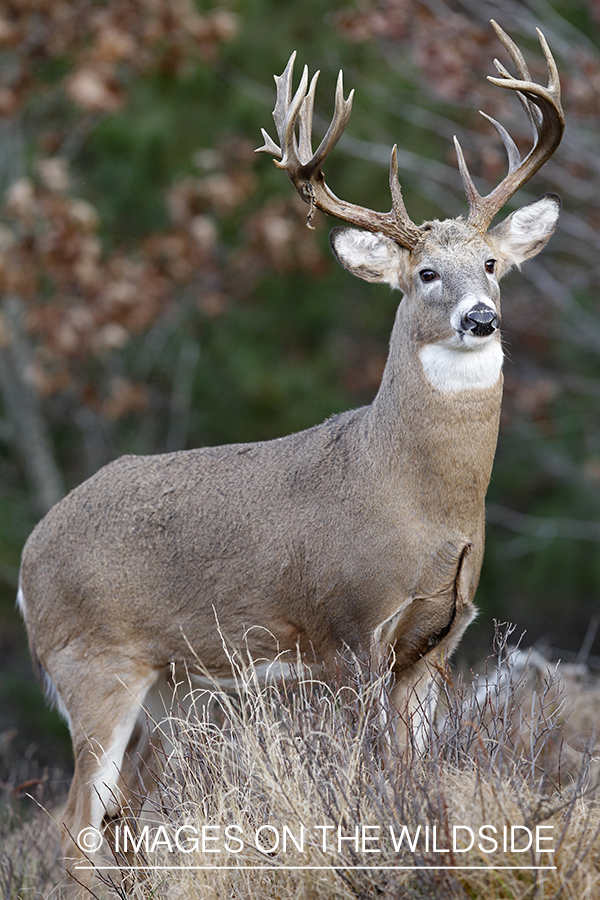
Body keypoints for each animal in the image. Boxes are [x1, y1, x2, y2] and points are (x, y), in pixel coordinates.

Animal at [18, 19, 564, 880]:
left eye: (492, 264)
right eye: (424, 273)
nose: (481, 317)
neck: (419, 502)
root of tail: (29, 555)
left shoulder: (432, 646)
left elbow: (419, 783)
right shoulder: (347, 630)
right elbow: (369, 784)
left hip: (171, 693)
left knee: (124, 822)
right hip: (94, 666)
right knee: (75, 832)